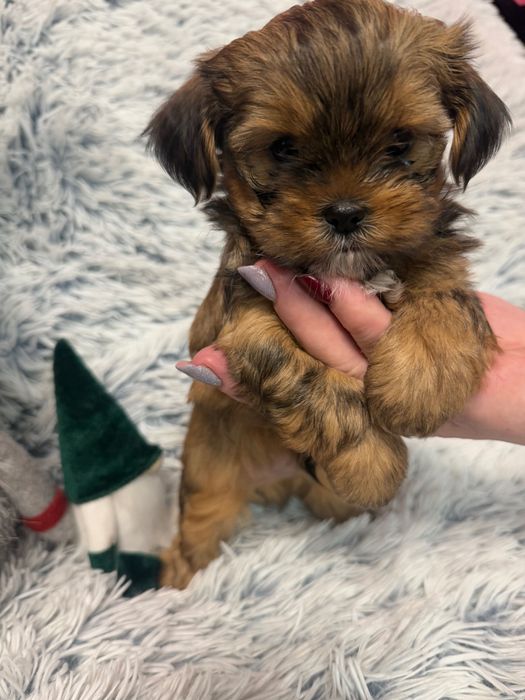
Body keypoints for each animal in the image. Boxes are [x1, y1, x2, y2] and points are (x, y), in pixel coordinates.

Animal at [145, 0, 510, 587]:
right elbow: (308, 376)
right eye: (283, 149)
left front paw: (423, 373)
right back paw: (176, 579)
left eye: (400, 144)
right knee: (200, 523)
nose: (344, 213)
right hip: (209, 468)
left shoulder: (430, 253)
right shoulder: (241, 318)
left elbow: (446, 288)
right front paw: (369, 458)